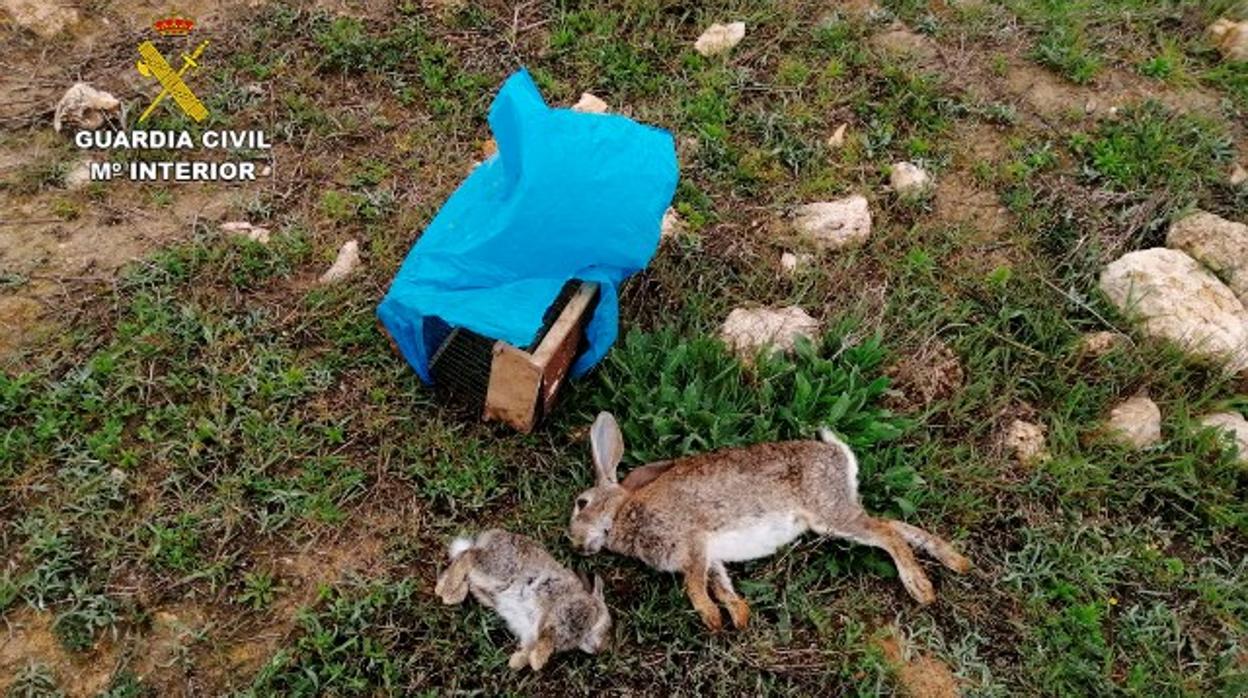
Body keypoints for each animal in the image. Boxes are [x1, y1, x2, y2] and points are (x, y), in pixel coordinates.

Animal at [434, 529, 614, 674]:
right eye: (606, 626)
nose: (602, 649)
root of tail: (487, 539)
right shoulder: (567, 615)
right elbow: (548, 640)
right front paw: (537, 662)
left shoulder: (532, 633)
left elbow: (531, 646)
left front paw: (516, 662)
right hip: (499, 569)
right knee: (467, 556)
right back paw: (448, 592)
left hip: (486, 585)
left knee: (465, 565)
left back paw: (445, 591)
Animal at [569, 412, 973, 631]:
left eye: (580, 503)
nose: (573, 543)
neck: (623, 512)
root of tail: (837, 452)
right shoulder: (711, 555)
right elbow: (721, 583)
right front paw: (739, 616)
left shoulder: (692, 542)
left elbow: (695, 585)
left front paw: (711, 619)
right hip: (837, 512)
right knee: (893, 524)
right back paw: (955, 560)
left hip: (829, 513)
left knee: (887, 532)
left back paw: (920, 587)